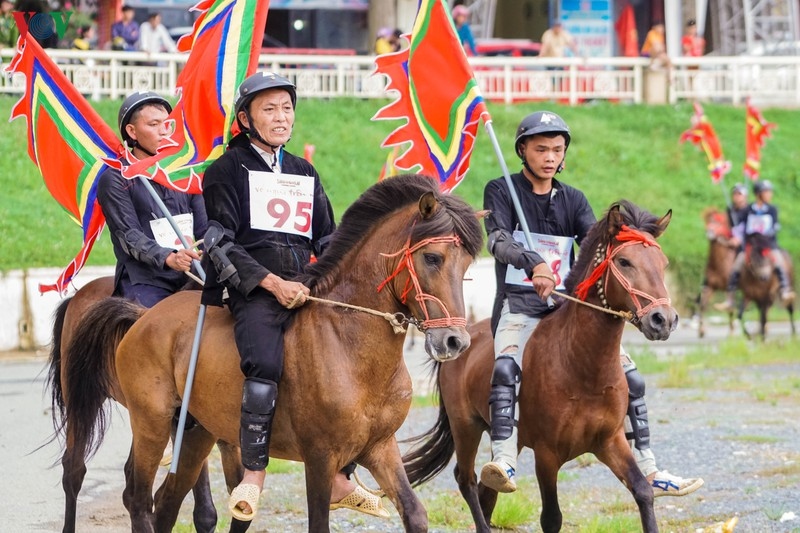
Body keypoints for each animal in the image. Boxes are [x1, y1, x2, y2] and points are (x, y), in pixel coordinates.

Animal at [57, 176, 482, 532]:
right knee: (134, 495)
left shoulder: (380, 447)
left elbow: (415, 513)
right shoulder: (320, 457)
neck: (349, 344)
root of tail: (144, 317)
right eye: (432, 258)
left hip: (195, 432)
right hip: (152, 422)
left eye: (466, 263)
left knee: (166, 501)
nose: (455, 342)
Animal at [400, 200, 676, 532]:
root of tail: (459, 338)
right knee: (466, 480)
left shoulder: (611, 442)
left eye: (662, 263)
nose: (663, 319)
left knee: (487, 490)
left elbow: (643, 492)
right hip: (465, 425)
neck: (583, 368)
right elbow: (552, 518)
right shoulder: (547, 455)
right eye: (624, 262)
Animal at [692, 208, 736, 336]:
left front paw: (731, 331)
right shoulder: (710, 286)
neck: (719, 265)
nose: (709, 232)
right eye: (708, 221)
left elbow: (730, 307)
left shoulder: (729, 287)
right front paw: (701, 330)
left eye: (718, 223)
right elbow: (703, 305)